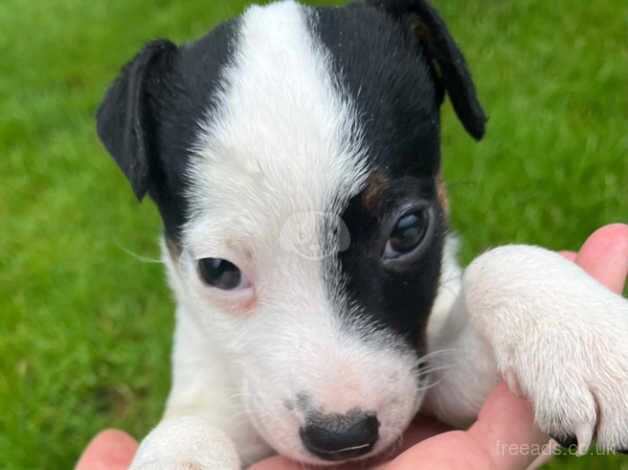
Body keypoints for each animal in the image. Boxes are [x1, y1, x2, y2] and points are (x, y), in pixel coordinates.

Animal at [94, 0, 628, 466]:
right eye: (218, 271)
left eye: (408, 230)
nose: (342, 436)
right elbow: (186, 428)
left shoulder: (437, 382)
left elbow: (494, 266)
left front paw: (582, 334)